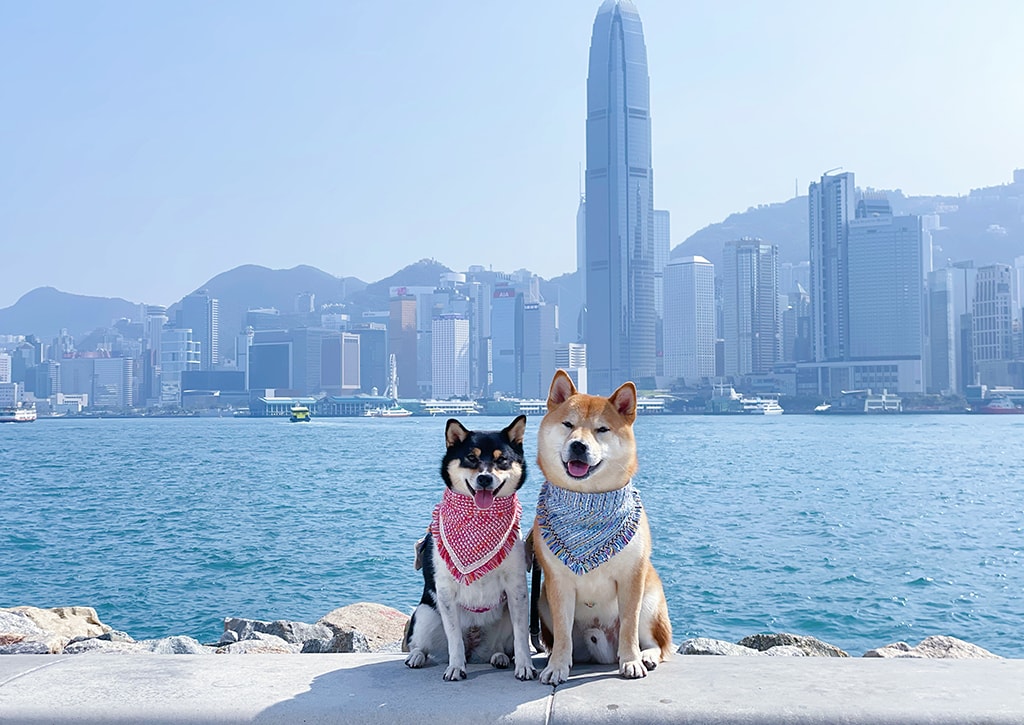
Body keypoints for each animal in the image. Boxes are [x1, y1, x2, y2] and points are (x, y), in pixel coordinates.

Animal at [403, 415, 540, 684]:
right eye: (471, 458)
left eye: (501, 460)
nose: (485, 478)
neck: (478, 518)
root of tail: (474, 646)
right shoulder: (445, 591)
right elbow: (454, 639)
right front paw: (456, 668)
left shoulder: (517, 587)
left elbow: (521, 637)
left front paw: (525, 667)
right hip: (425, 614)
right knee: (422, 645)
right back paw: (417, 657)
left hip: (504, 618)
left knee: (501, 648)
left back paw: (499, 657)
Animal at [532, 370, 675, 684]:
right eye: (568, 425)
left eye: (602, 430)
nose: (578, 445)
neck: (588, 504)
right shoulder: (557, 583)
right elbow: (562, 633)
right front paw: (557, 666)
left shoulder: (632, 577)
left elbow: (630, 627)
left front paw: (632, 661)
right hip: (543, 604)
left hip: (651, 601)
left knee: (657, 644)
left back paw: (646, 656)